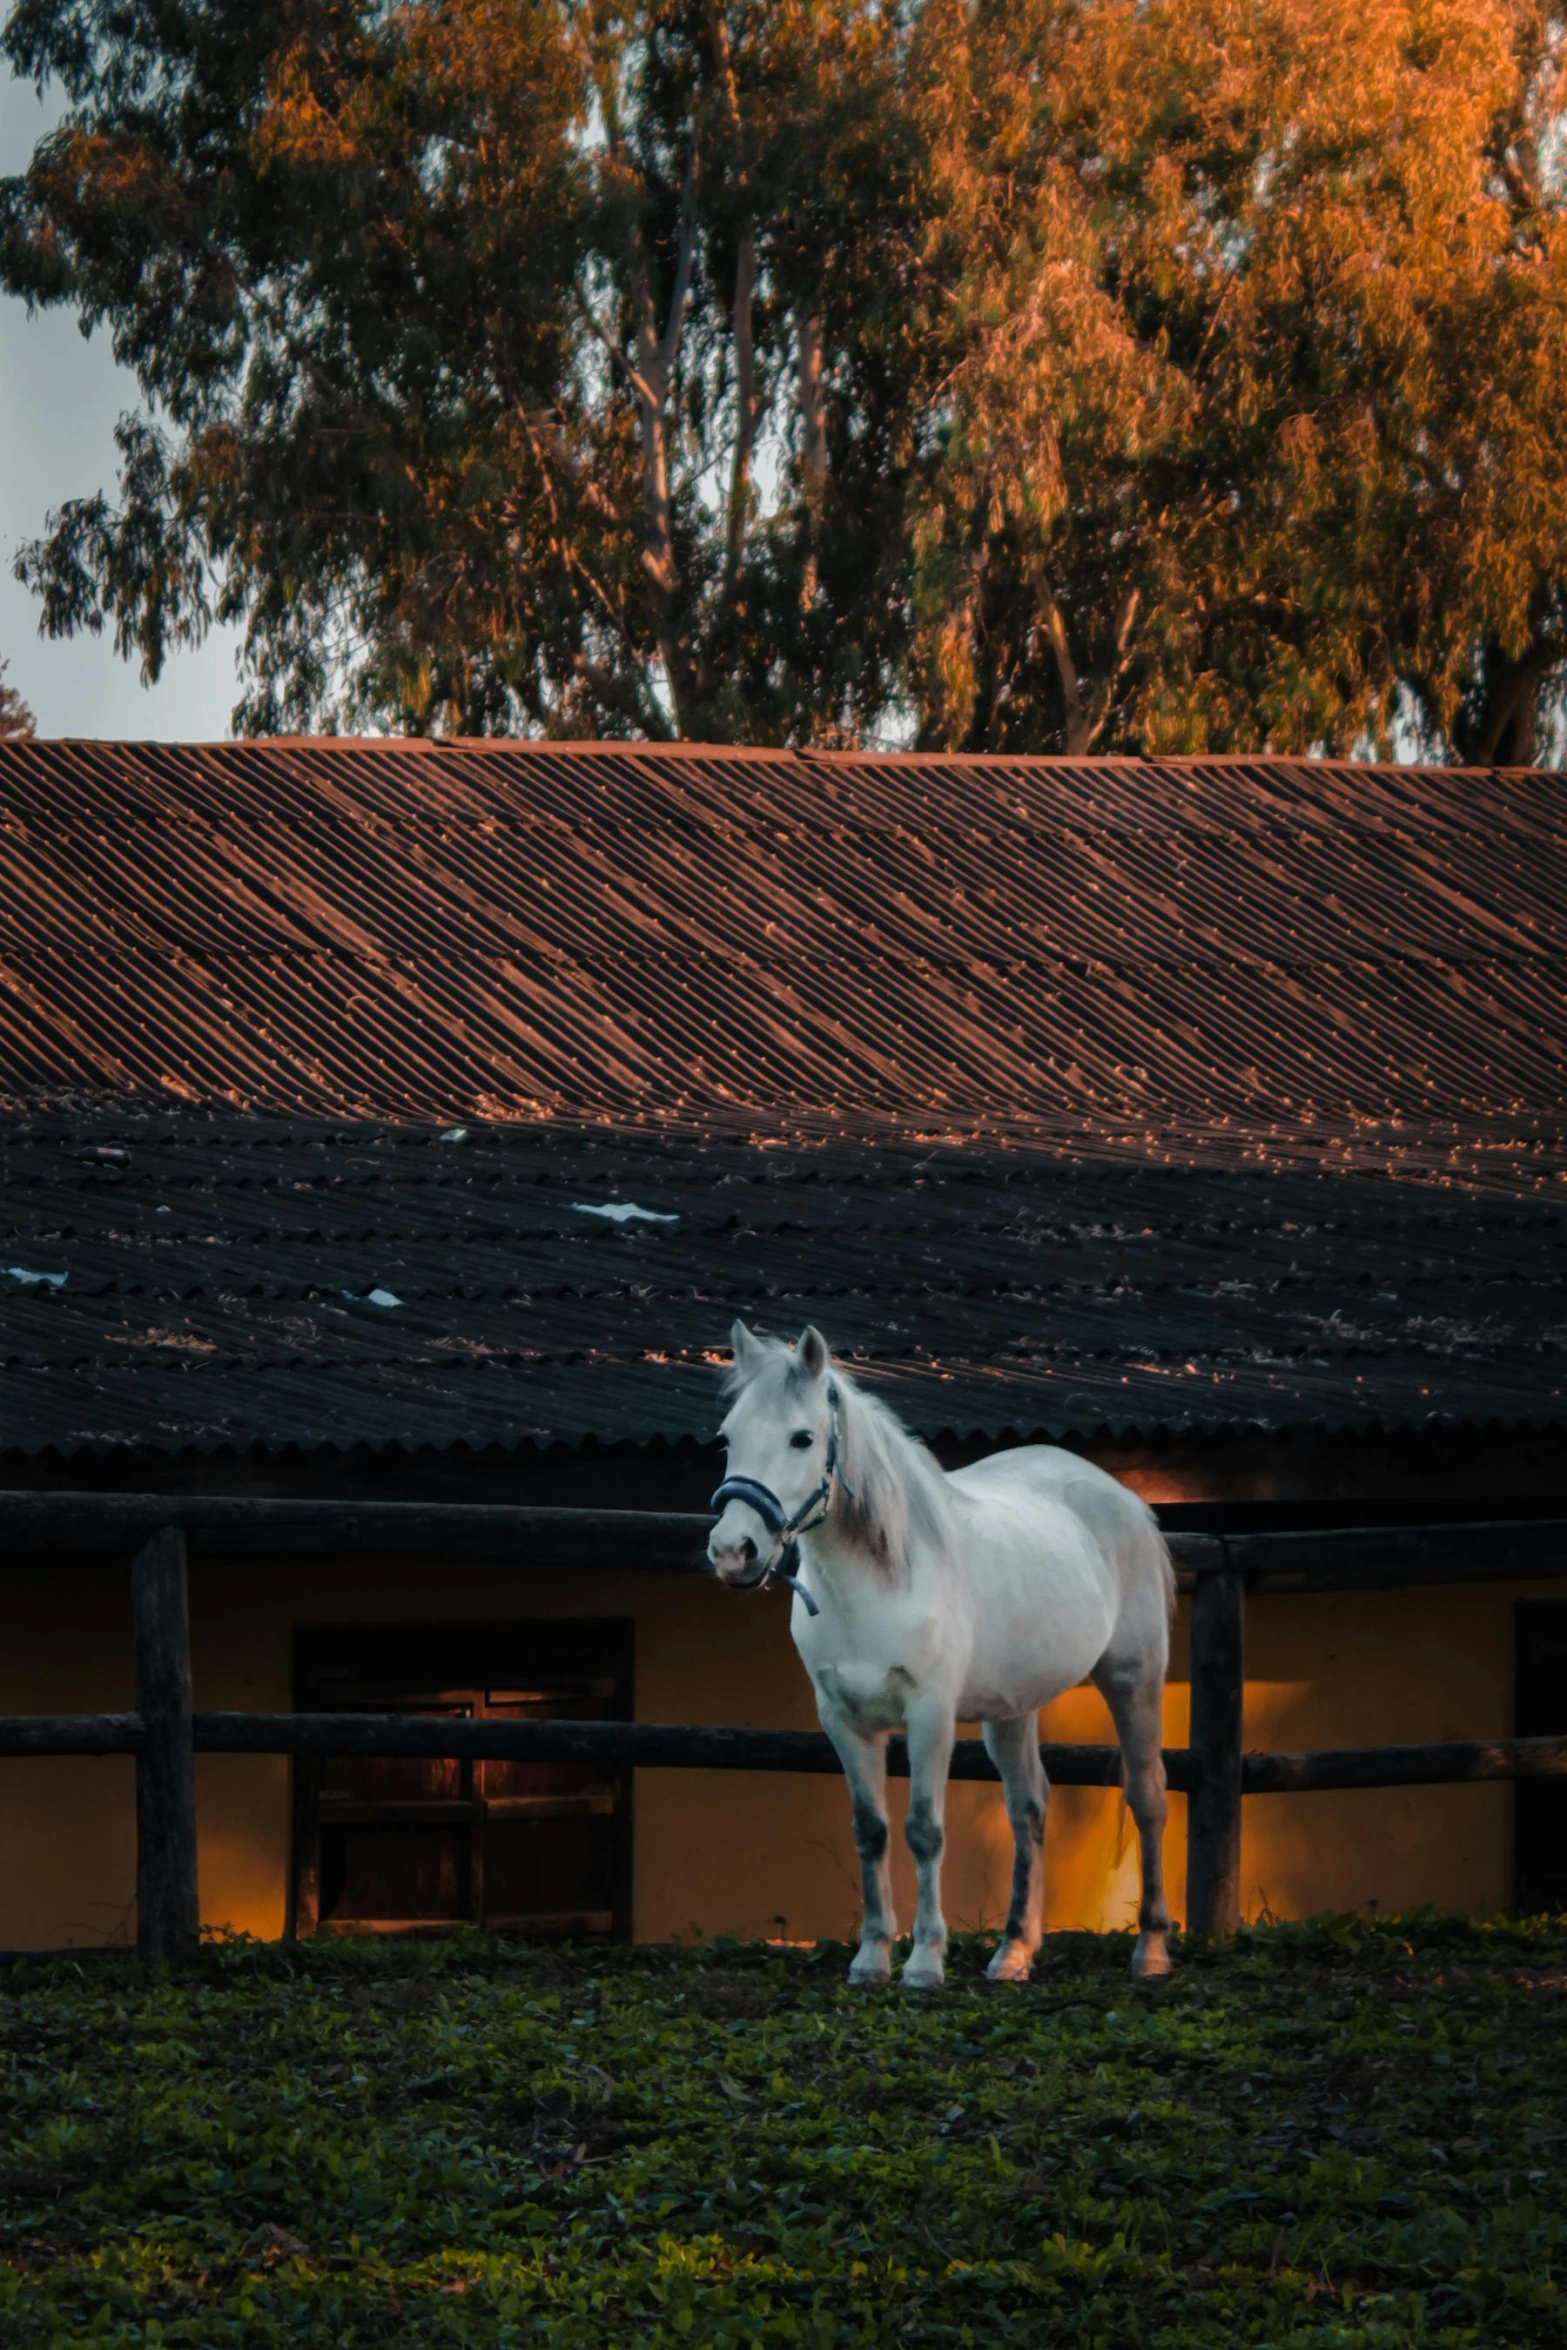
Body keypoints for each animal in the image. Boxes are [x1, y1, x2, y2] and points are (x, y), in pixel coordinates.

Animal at [704, 1325, 1169, 1983]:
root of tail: (1123, 1498)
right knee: (1028, 1807)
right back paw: (1013, 1951)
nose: (732, 1551)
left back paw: (1151, 1949)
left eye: (803, 1438)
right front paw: (871, 1960)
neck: (880, 1585)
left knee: (1147, 1796)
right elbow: (871, 1832)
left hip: (1135, 1679)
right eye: (728, 1437)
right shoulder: (843, 1722)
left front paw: (924, 1962)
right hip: (1014, 1708)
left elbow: (924, 1830)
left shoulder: (930, 1717)